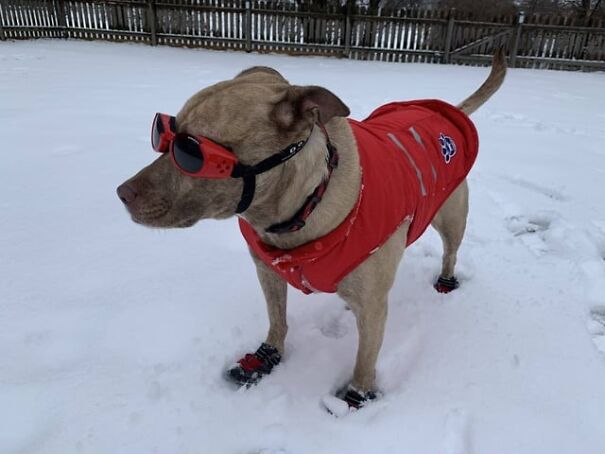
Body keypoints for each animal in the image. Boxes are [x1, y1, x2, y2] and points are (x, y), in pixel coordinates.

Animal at [117, 49, 504, 408]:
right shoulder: (268, 273)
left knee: (450, 251)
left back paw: (446, 281)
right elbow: (277, 320)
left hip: (451, 217)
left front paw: (355, 397)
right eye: (163, 134)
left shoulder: (373, 308)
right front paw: (265, 358)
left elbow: (365, 359)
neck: (300, 210)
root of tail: (446, 109)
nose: (122, 193)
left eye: (190, 152)